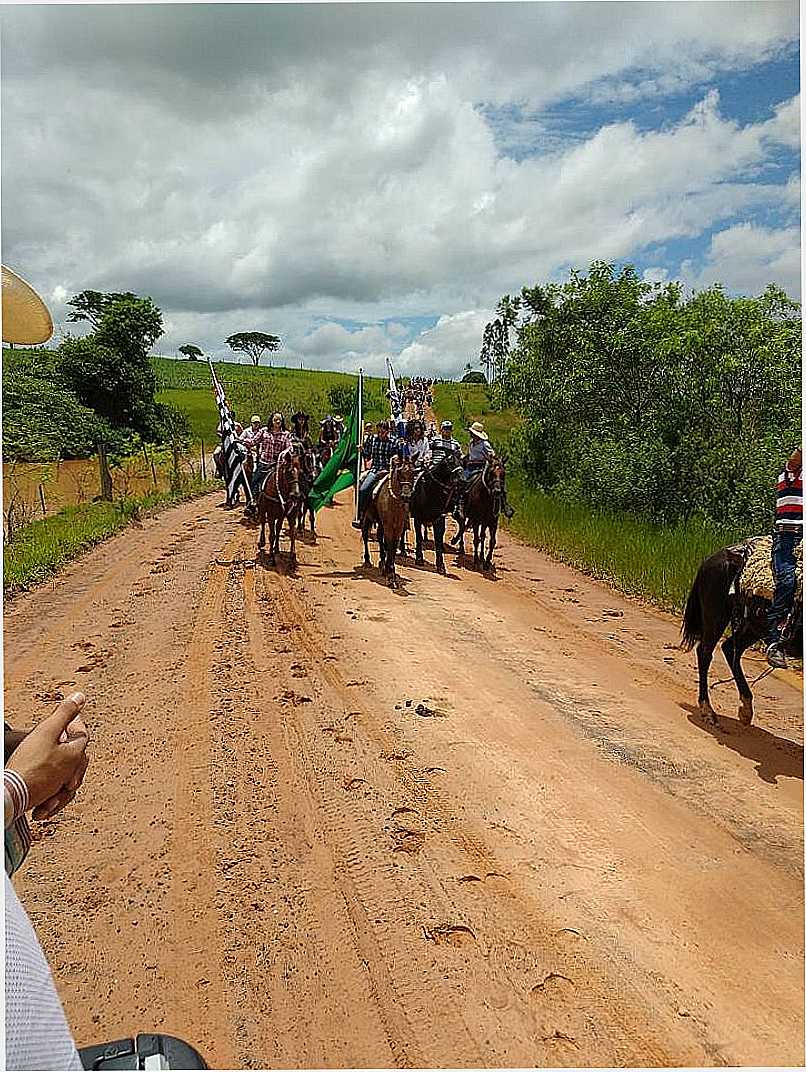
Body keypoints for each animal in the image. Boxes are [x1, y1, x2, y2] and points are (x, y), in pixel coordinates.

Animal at [364, 452, 415, 587]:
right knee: (365, 536)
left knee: (379, 536)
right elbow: (389, 544)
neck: (394, 502)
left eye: (413, 472)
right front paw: (389, 573)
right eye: (400, 472)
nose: (406, 496)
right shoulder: (388, 525)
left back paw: (382, 562)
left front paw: (391, 571)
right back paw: (367, 561)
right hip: (366, 518)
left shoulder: (398, 527)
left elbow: (393, 546)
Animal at [681, 544, 801, 728]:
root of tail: (713, 557)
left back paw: (746, 708)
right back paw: (708, 710)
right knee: (705, 653)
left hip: (754, 627)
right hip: (716, 616)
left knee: (730, 648)